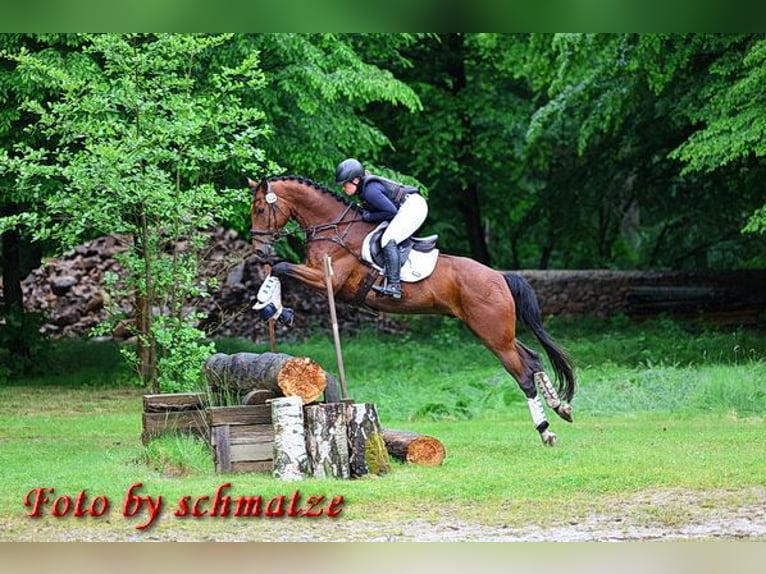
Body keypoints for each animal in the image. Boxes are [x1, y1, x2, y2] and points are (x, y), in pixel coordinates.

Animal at [247, 175, 576, 446]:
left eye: (260, 210)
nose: (259, 249)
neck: (333, 227)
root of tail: (499, 276)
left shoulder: (327, 279)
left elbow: (281, 267)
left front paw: (268, 306)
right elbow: (279, 268)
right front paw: (275, 310)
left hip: (493, 335)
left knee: (522, 375)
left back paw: (545, 430)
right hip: (494, 331)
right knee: (532, 360)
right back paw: (561, 407)